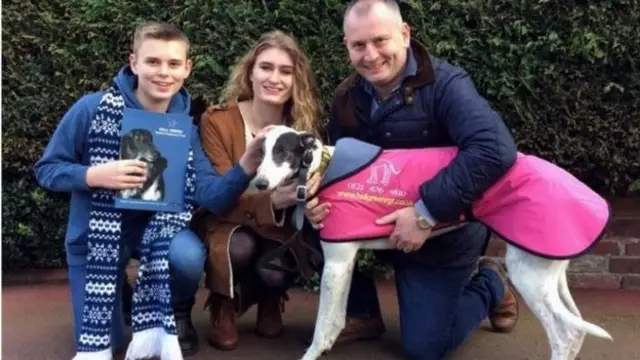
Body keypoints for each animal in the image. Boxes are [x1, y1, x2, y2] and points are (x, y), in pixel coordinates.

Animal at [252, 126, 612, 360]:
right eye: (260, 154)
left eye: (284, 152)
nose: (259, 184)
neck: (324, 167)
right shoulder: (344, 262)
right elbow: (335, 320)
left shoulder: (337, 263)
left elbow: (323, 323)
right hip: (548, 274)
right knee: (576, 330)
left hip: (530, 276)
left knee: (565, 334)